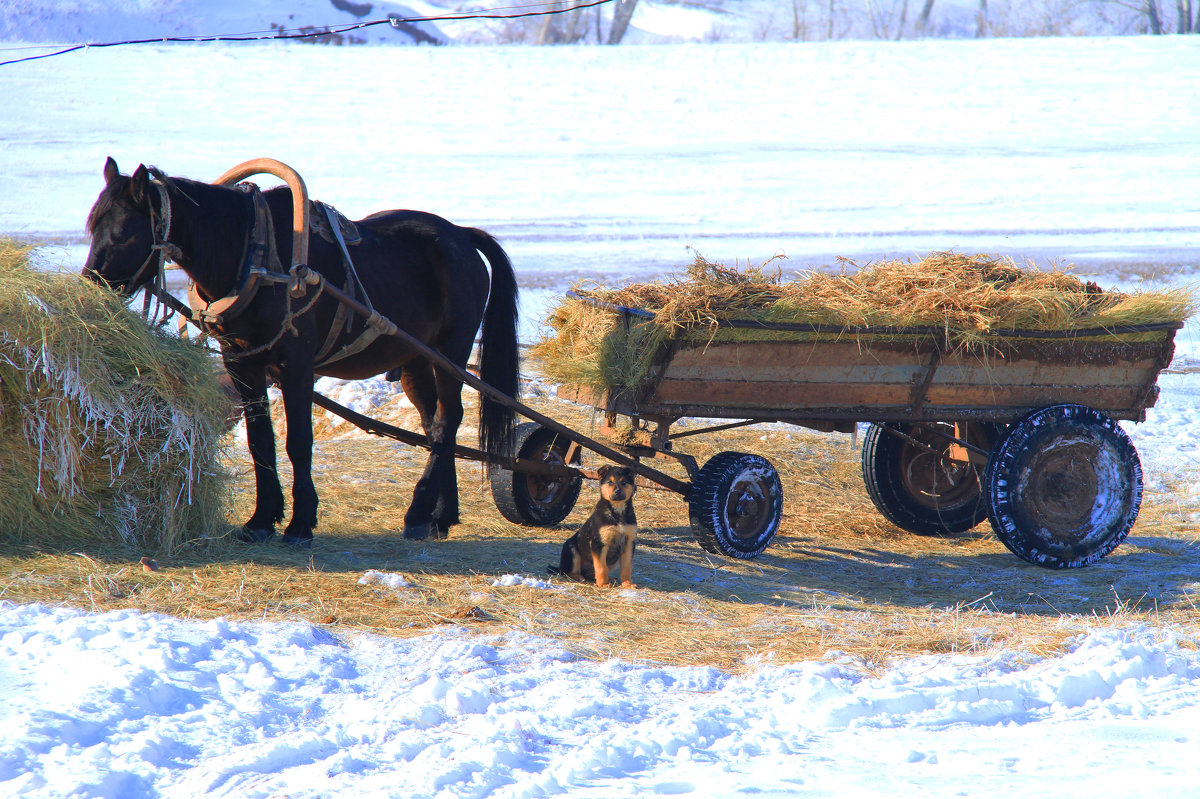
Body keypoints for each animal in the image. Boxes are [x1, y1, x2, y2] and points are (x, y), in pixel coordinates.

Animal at [79, 158, 520, 544]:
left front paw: (300, 522)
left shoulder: (298, 366)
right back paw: (440, 515)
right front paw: (261, 519)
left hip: (451, 352)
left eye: (123, 233)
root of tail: (460, 234)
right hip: (414, 358)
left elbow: (298, 442)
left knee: (448, 421)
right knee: (435, 424)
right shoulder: (242, 362)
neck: (252, 256)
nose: (91, 285)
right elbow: (259, 440)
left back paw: (418, 512)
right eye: (92, 226)